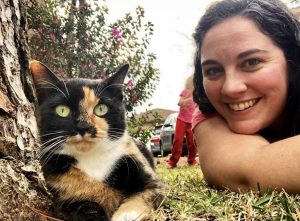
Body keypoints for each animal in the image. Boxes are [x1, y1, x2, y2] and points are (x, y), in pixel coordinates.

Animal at [29, 60, 164, 221]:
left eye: (101, 109)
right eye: (62, 110)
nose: (83, 126)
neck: (92, 159)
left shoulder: (151, 183)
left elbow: (139, 199)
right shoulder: (67, 200)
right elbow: (86, 210)